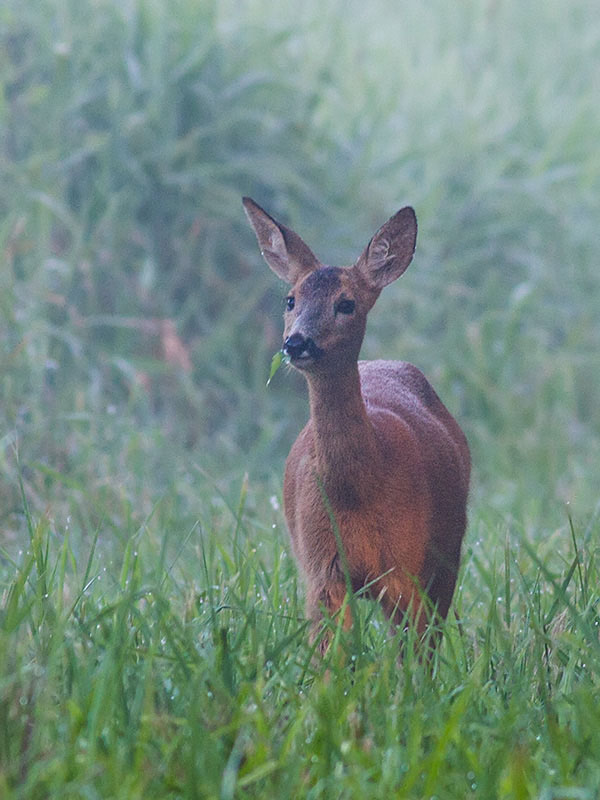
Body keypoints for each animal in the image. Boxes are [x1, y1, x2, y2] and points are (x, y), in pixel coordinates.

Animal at [243, 197, 468, 652]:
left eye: (346, 304)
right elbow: (328, 657)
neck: (358, 489)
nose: (296, 343)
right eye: (290, 299)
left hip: (447, 554)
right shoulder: (322, 571)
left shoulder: (407, 566)